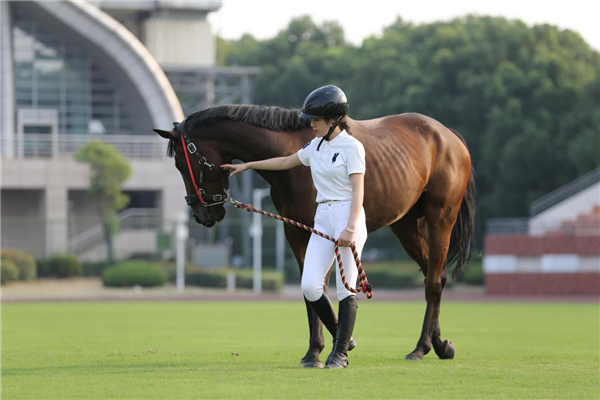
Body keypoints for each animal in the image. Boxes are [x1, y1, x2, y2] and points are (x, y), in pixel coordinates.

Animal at [156, 104, 478, 366]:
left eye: (181, 164)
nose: (203, 214)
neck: (291, 150)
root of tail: (447, 135)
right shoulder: (295, 231)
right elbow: (309, 290)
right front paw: (316, 351)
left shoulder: (321, 233)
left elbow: (322, 288)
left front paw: (332, 347)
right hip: (406, 224)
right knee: (433, 275)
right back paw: (440, 344)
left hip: (440, 219)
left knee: (433, 281)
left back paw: (421, 348)